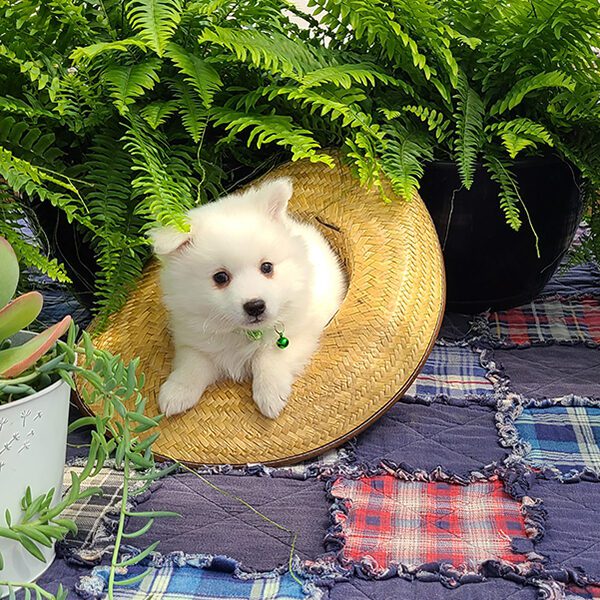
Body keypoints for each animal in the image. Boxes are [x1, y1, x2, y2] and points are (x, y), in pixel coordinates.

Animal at [150, 177, 346, 418]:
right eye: (220, 277)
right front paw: (175, 393)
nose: (255, 306)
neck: (244, 334)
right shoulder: (194, 340)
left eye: (267, 267)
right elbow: (192, 364)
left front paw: (270, 395)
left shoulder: (301, 332)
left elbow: (268, 356)